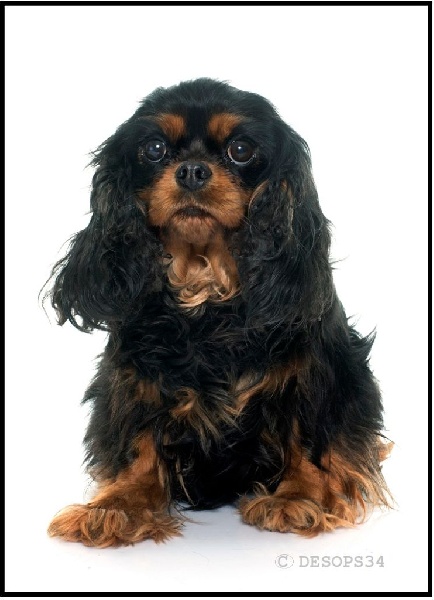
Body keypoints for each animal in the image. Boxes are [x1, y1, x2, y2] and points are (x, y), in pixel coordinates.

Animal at [46, 78, 392, 547]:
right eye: (154, 149)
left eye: (240, 150)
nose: (192, 170)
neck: (205, 284)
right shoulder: (136, 374)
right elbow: (139, 440)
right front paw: (117, 506)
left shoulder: (316, 371)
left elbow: (308, 435)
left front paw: (299, 497)